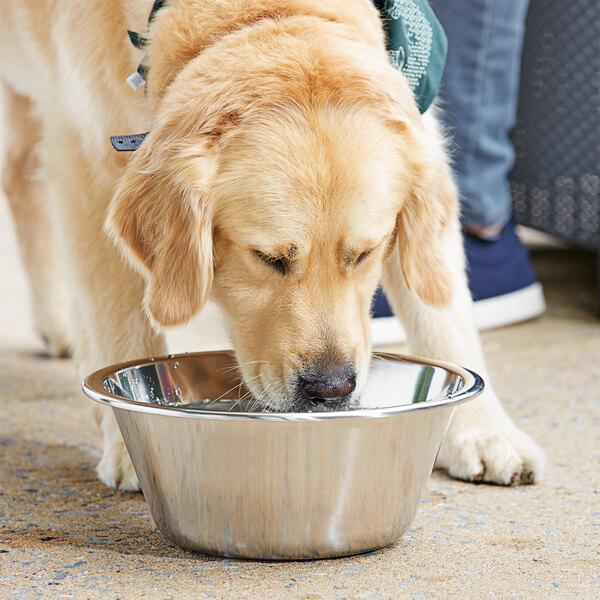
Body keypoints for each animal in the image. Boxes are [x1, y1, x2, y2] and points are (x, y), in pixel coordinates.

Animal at [0, 0, 544, 490]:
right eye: (268, 258)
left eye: (365, 254)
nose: (331, 388)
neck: (262, 13)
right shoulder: (87, 157)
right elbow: (119, 314)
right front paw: (124, 443)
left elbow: (443, 307)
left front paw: (485, 430)